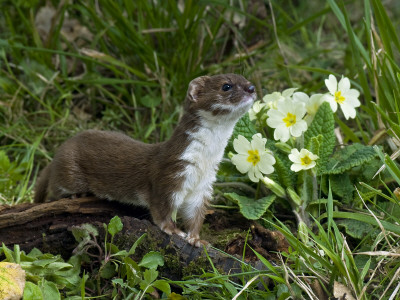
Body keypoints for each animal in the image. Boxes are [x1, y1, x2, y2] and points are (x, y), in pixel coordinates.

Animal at [36, 74, 256, 247]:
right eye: (226, 86)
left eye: (245, 79)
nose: (252, 88)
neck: (203, 162)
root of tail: (60, 151)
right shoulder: (171, 174)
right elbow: (161, 208)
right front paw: (173, 230)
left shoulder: (203, 186)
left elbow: (195, 215)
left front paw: (196, 239)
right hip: (68, 171)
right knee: (55, 189)